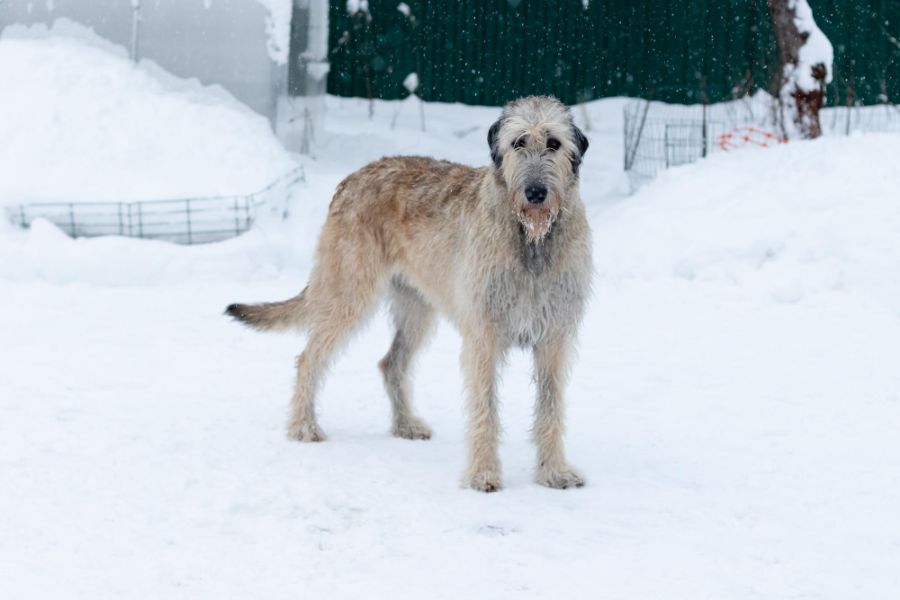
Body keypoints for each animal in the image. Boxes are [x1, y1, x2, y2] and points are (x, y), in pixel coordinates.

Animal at [225, 95, 592, 492]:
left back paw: (404, 425)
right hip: (347, 291)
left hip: (417, 308)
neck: (532, 240)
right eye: (518, 143)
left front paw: (554, 471)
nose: (535, 193)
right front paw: (483, 474)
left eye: (554, 143)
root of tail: (352, 177)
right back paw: (303, 427)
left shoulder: (554, 338)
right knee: (309, 357)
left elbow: (551, 407)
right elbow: (485, 407)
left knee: (392, 363)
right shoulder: (483, 336)